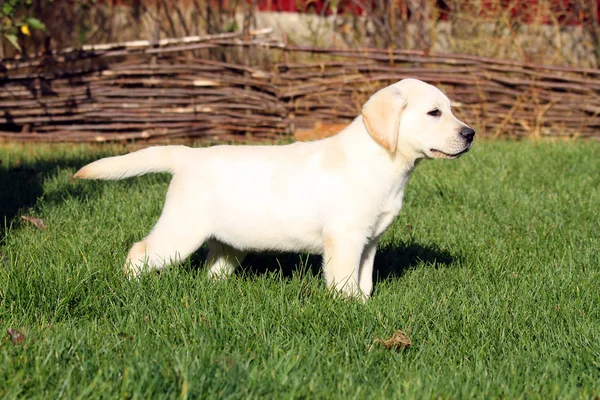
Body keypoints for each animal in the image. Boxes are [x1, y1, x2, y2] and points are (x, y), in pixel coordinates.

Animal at [74, 78, 474, 298]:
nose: (470, 134)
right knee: (139, 251)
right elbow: (344, 282)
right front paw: (348, 310)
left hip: (228, 242)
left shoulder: (369, 240)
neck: (384, 161)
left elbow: (364, 282)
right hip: (181, 231)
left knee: (213, 268)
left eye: (451, 110)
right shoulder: (345, 237)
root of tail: (188, 155)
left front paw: (363, 306)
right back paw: (129, 287)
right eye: (434, 113)